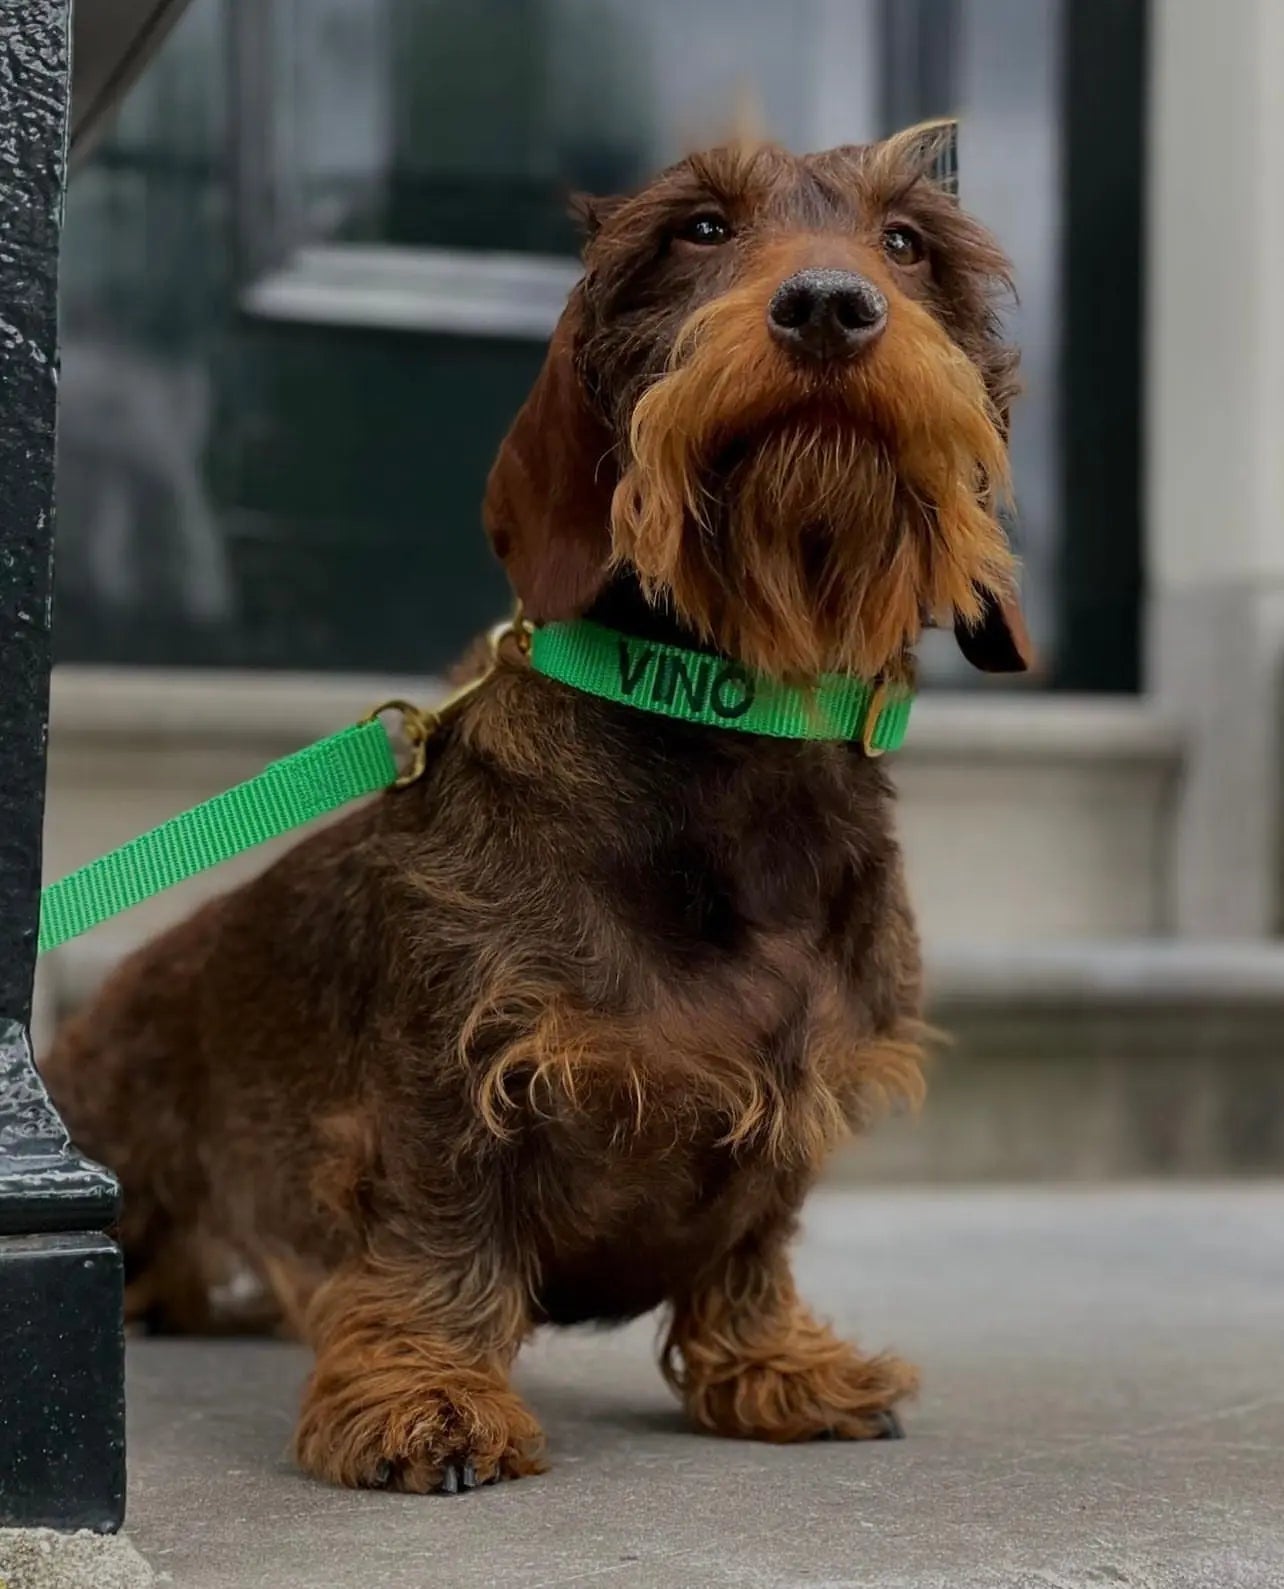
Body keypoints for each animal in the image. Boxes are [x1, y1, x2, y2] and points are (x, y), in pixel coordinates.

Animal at [40, 120, 1029, 1487]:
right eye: (700, 228)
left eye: (907, 241)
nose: (830, 306)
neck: (735, 721)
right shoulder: (448, 1076)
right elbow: (441, 1230)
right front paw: (428, 1392)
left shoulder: (793, 1097)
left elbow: (752, 1241)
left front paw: (775, 1362)